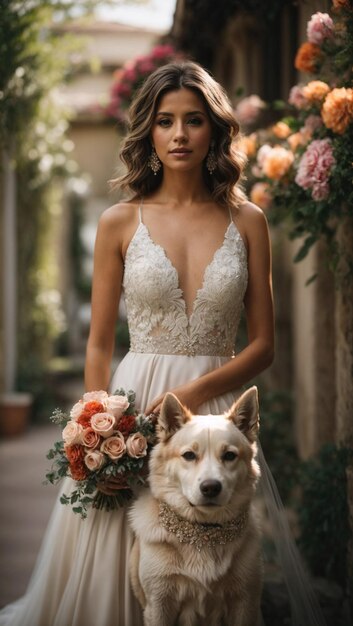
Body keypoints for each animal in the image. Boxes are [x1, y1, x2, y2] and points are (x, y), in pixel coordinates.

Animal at [129, 386, 262, 624]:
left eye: (229, 455)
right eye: (189, 455)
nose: (210, 487)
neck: (204, 532)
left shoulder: (245, 599)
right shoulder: (159, 603)